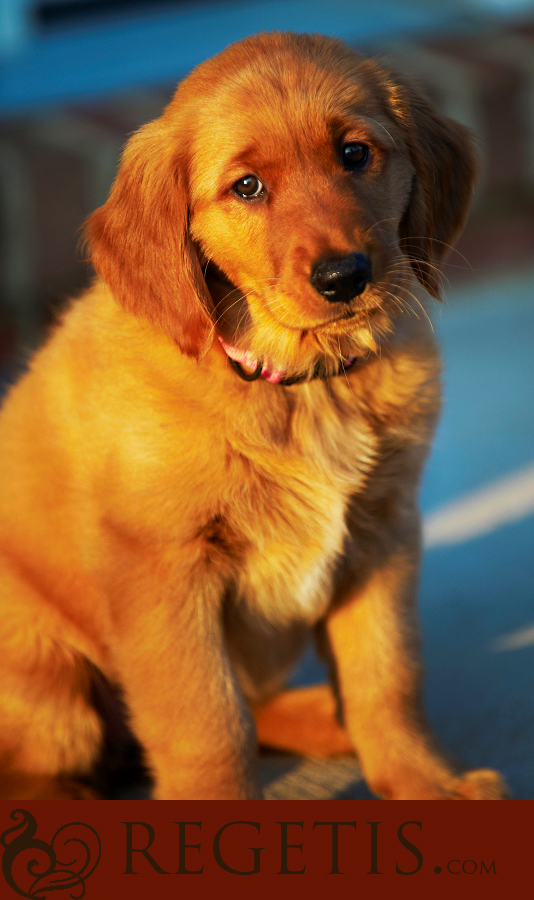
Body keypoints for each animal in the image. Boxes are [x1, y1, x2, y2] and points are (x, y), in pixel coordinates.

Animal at [0, 31, 510, 800]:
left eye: (354, 153)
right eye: (247, 187)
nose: (344, 277)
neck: (300, 385)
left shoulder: (383, 532)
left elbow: (387, 674)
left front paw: (425, 782)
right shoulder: (160, 568)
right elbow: (208, 721)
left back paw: (328, 719)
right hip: (47, 682)